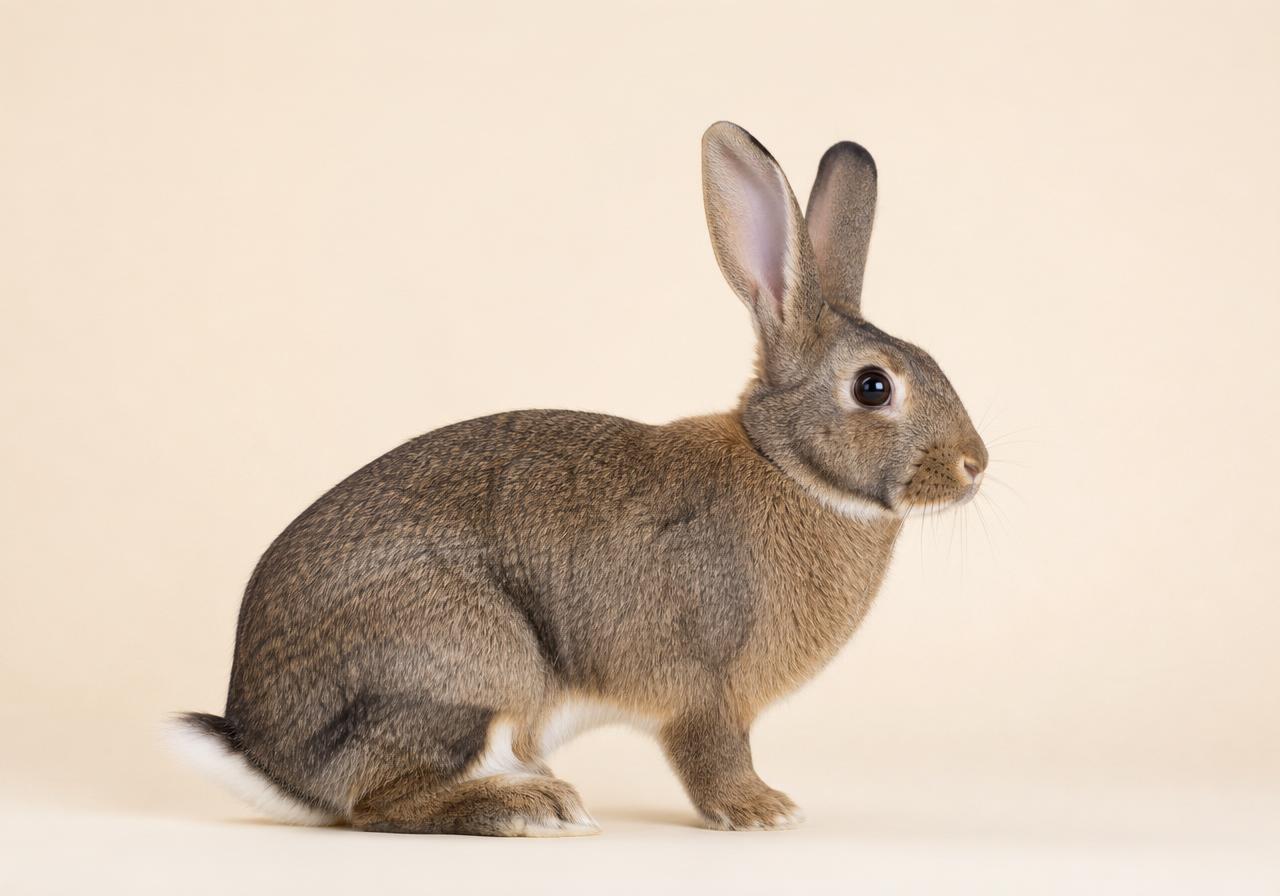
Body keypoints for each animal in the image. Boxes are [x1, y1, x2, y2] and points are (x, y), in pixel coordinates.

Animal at [168, 121, 987, 836]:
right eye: (874, 387)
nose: (975, 464)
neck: (784, 462)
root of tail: (268, 755)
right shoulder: (710, 692)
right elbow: (713, 760)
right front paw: (762, 810)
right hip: (476, 666)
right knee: (378, 804)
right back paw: (537, 809)